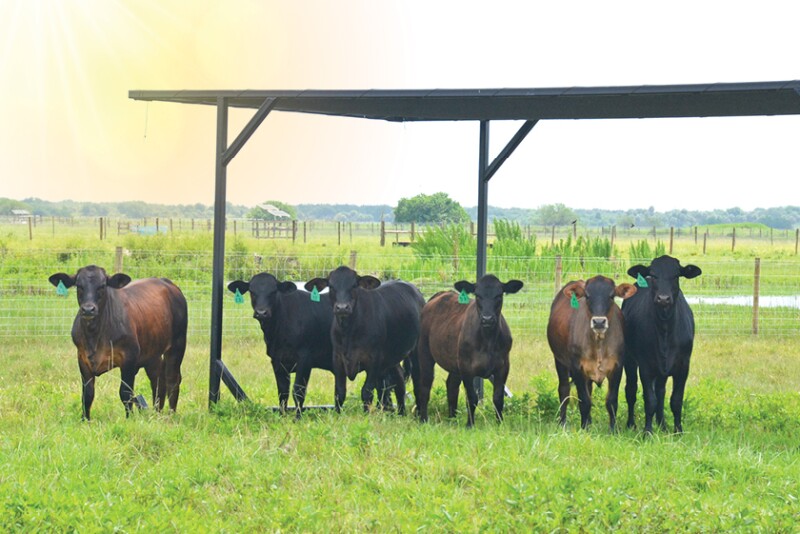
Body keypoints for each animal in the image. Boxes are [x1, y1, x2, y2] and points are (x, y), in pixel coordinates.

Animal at [49, 265, 188, 420]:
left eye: (102, 286)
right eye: (79, 286)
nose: (88, 309)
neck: (94, 335)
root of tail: (168, 283)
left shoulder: (129, 359)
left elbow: (125, 393)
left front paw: (129, 418)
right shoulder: (82, 359)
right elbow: (87, 394)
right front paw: (85, 420)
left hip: (177, 344)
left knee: (172, 378)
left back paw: (171, 414)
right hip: (152, 353)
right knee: (158, 380)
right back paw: (156, 413)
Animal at [304, 266, 425, 414]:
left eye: (354, 285)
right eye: (331, 286)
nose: (342, 307)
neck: (349, 332)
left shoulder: (374, 361)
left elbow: (366, 392)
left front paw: (366, 414)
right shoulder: (337, 359)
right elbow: (339, 392)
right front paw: (337, 414)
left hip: (414, 351)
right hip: (392, 357)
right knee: (399, 379)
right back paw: (401, 412)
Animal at [416, 275, 523, 427]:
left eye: (499, 295)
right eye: (477, 295)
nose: (487, 319)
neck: (488, 340)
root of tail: (440, 294)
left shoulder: (503, 367)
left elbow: (498, 398)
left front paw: (499, 423)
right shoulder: (466, 367)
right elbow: (472, 398)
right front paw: (470, 424)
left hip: (454, 363)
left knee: (451, 385)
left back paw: (452, 418)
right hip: (424, 352)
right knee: (425, 385)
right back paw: (424, 419)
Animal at [546, 276, 637, 430]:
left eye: (611, 296)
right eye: (588, 296)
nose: (599, 322)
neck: (598, 343)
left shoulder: (617, 368)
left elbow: (611, 401)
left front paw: (613, 430)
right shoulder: (577, 368)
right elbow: (584, 401)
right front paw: (584, 429)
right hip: (559, 361)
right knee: (564, 390)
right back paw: (563, 423)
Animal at [622, 255, 702, 434]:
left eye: (676, 275)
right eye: (654, 275)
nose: (663, 299)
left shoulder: (683, 366)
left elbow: (676, 400)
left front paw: (678, 431)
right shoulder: (645, 366)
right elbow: (649, 400)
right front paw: (647, 432)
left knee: (660, 391)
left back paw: (662, 424)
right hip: (629, 360)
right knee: (631, 390)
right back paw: (631, 424)